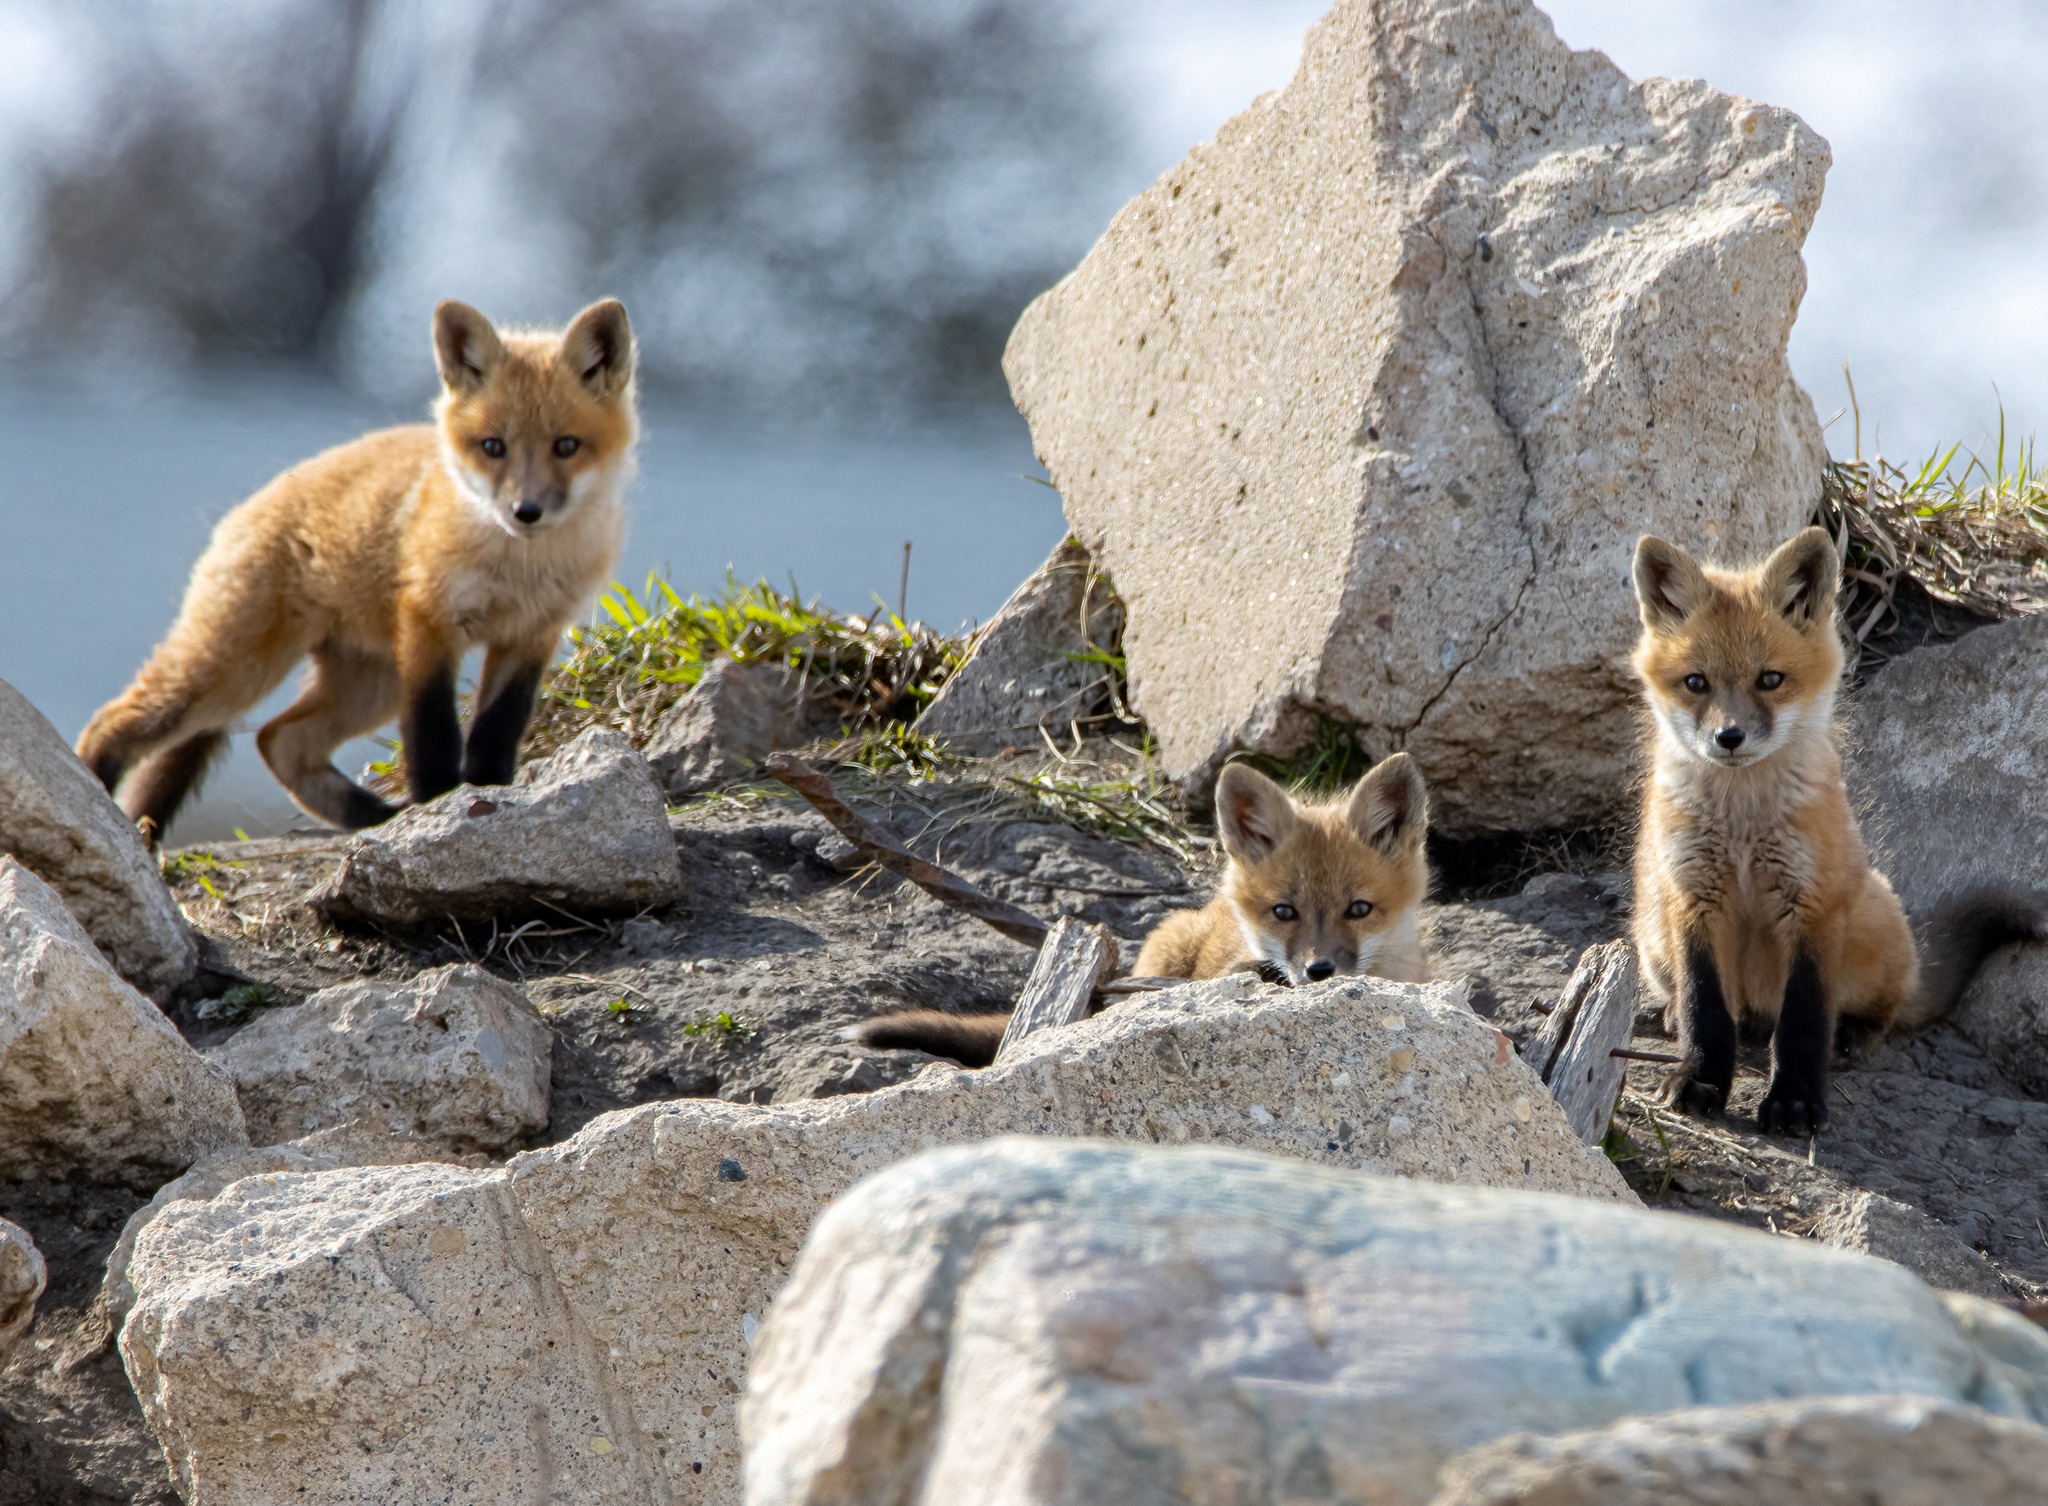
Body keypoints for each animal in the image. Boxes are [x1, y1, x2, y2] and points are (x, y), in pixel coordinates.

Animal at [76, 298, 637, 841]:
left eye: (566, 446)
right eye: (493, 447)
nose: (525, 511)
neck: (518, 571)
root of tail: (244, 506)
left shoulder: (531, 636)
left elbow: (495, 734)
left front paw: (486, 795)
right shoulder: (428, 624)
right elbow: (433, 737)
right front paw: (436, 808)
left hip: (369, 685)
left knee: (280, 740)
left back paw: (373, 816)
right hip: (232, 674)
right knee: (109, 724)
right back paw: (97, 802)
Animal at [1630, 526, 2039, 1136]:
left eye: (1770, 680)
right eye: (1696, 683)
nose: (1729, 737)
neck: (1743, 826)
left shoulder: (1813, 904)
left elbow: (1803, 1022)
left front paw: (1795, 1101)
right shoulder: (1692, 898)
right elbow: (1705, 1007)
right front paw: (1699, 1077)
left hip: (1868, 916)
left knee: (1884, 1007)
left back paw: (1852, 1033)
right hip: (1653, 935)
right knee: (1718, 1008)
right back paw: (1678, 1015)